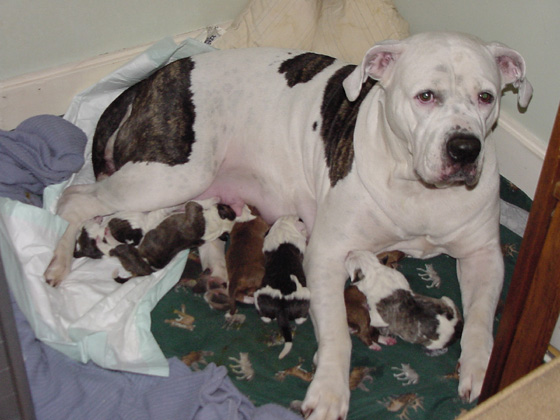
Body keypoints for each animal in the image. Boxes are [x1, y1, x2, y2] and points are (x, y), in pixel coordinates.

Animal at [74, 199, 249, 284]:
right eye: (228, 207)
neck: (216, 226)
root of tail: (146, 270)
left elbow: (191, 204)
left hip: (124, 249)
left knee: (112, 247)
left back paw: (105, 235)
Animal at [255, 215, 308, 360]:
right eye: (300, 219)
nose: (300, 217)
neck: (284, 227)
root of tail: (282, 307)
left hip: (260, 296)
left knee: (266, 316)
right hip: (306, 297)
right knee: (299, 319)